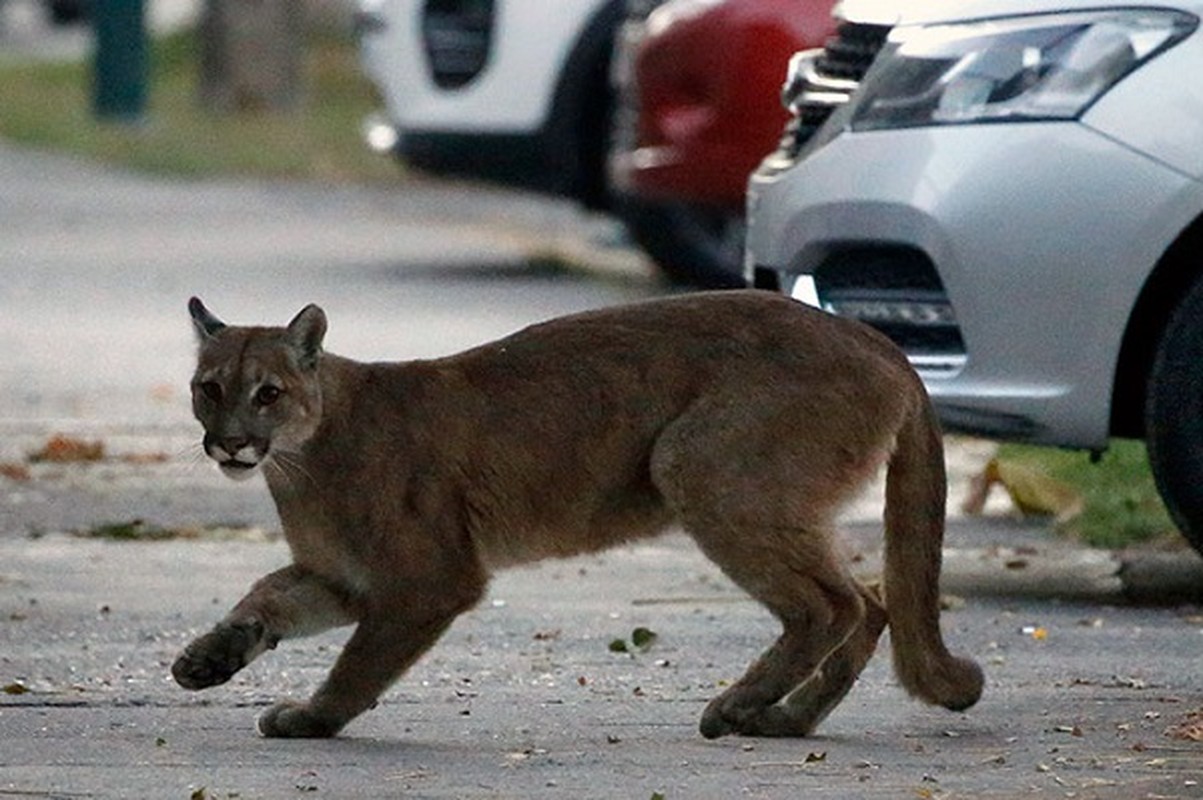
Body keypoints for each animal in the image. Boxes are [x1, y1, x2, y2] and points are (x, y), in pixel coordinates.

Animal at [174, 288, 981, 736]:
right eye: (209, 388)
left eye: (268, 393)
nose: (230, 442)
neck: (300, 460)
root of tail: (876, 338)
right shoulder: (345, 576)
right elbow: (267, 596)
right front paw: (209, 658)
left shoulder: (427, 580)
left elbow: (360, 661)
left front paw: (315, 718)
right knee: (872, 600)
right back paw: (785, 720)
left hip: (697, 464)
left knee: (830, 605)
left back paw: (738, 707)